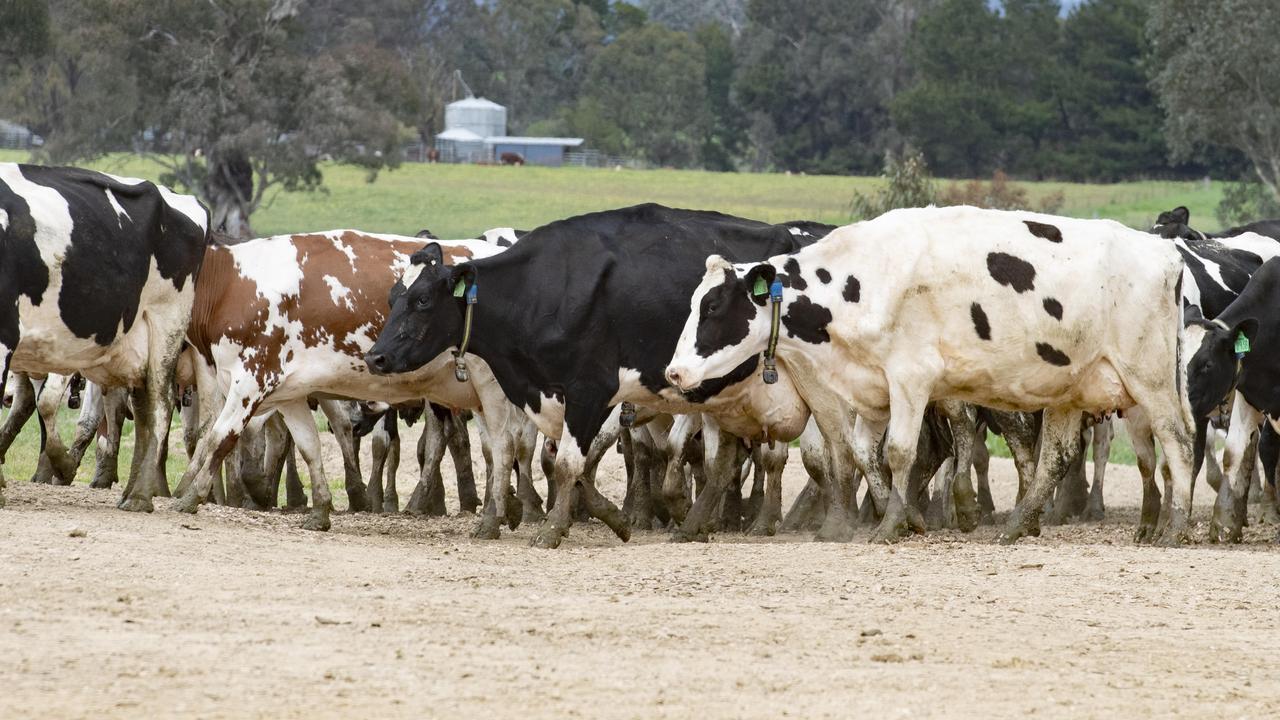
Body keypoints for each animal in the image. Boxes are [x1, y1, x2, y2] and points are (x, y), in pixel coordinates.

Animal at [368, 202, 829, 543]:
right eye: (393, 297)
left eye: (423, 301)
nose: (376, 358)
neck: (545, 288)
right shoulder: (555, 396)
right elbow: (565, 463)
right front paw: (614, 519)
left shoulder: (592, 390)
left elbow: (569, 463)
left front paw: (553, 530)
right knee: (723, 461)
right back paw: (696, 524)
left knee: (798, 455)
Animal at [665, 206, 1203, 543]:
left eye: (712, 307)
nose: (674, 372)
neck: (863, 278)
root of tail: (1166, 254)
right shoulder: (873, 390)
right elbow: (866, 454)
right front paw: (907, 519)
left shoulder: (910, 380)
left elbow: (899, 453)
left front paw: (891, 526)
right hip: (1074, 386)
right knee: (1055, 455)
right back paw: (1018, 525)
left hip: (1151, 380)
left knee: (1177, 441)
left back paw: (1175, 528)